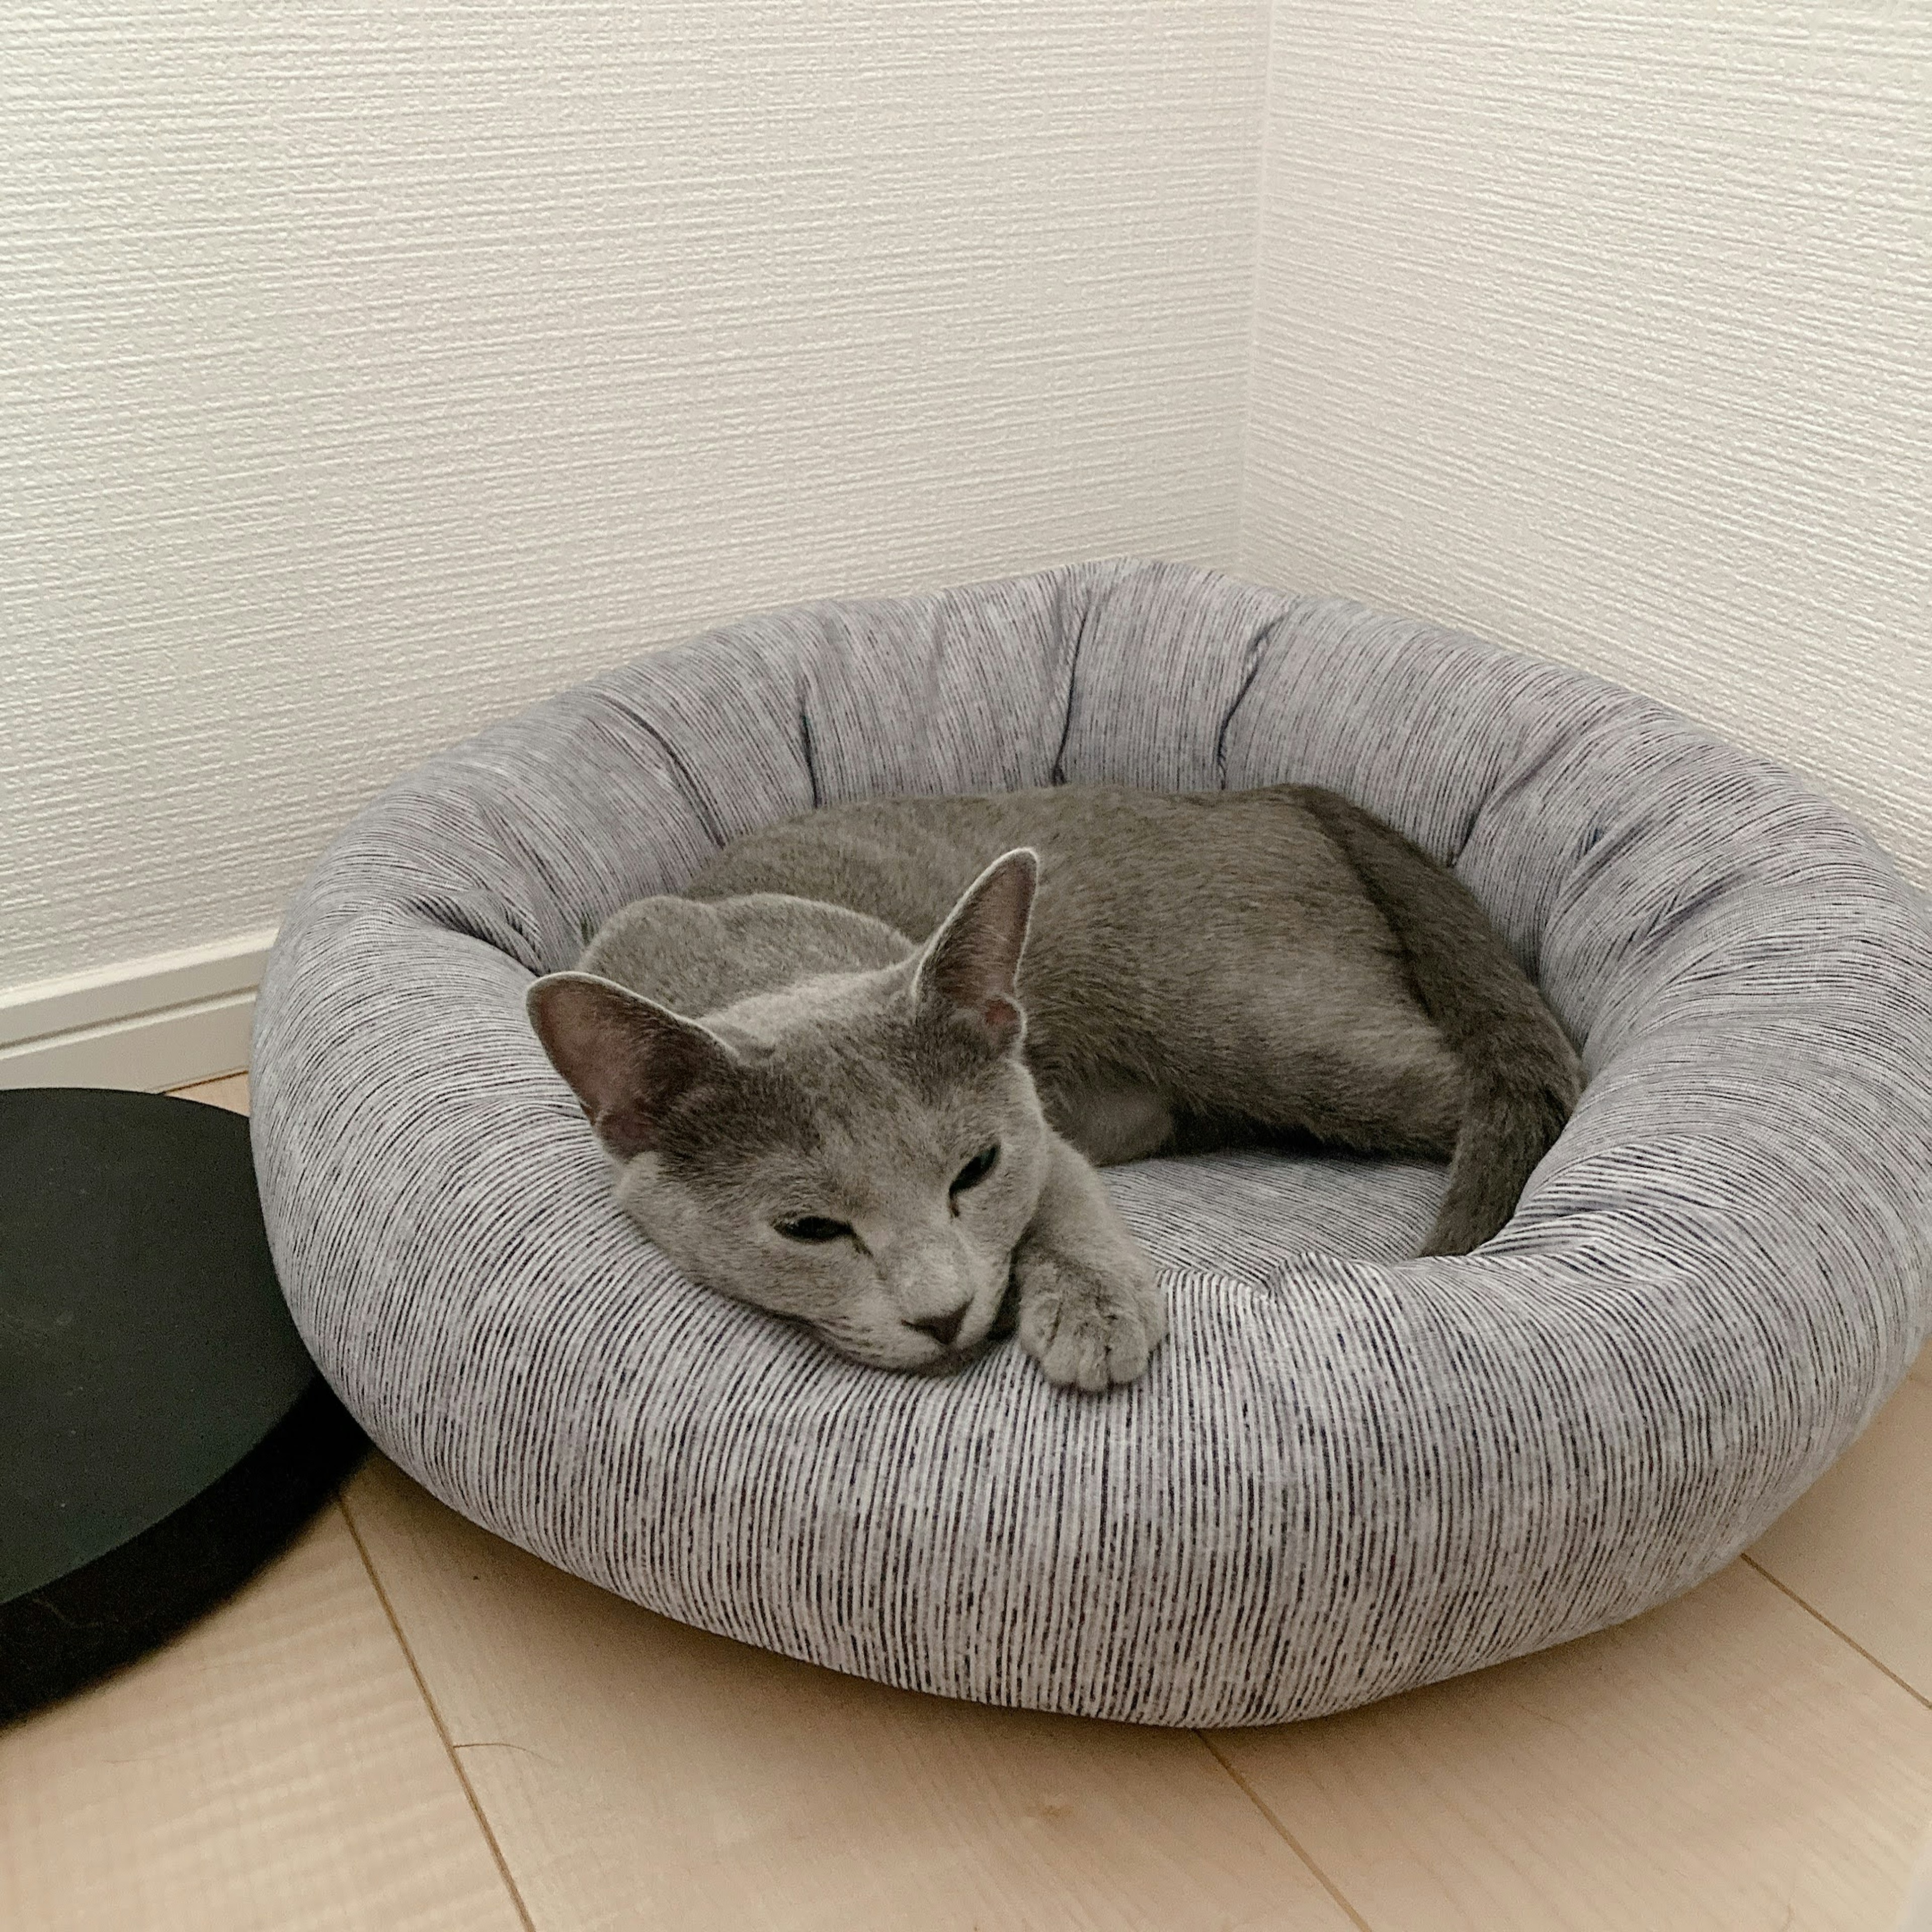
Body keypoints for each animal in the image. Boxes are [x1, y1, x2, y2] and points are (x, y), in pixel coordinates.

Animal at [533, 780, 1584, 1391]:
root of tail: (1270, 789)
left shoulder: (1042, 1130)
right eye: (808, 1229)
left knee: (1531, 1075)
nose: (942, 1315)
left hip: (1266, 1028)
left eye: (974, 1170)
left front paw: (1094, 1316)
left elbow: (1066, 1204)